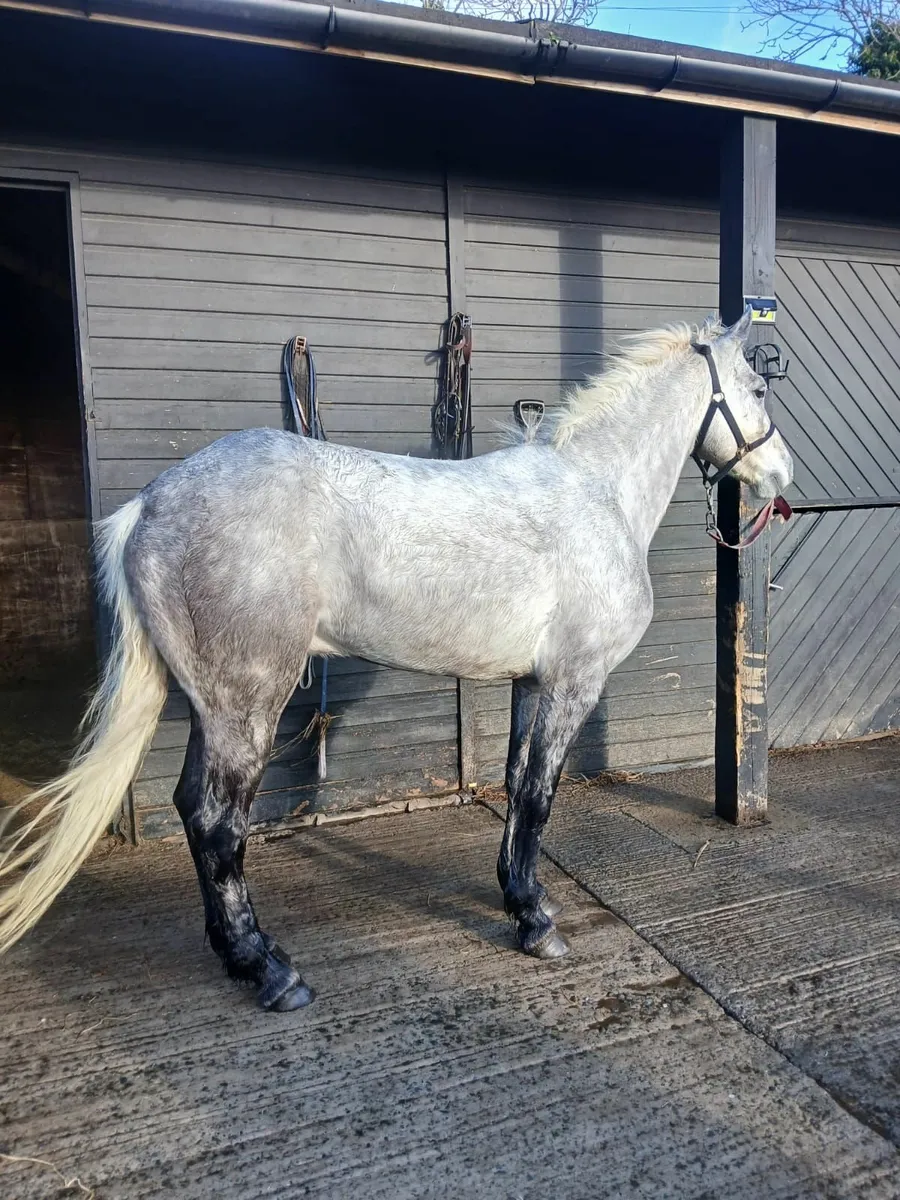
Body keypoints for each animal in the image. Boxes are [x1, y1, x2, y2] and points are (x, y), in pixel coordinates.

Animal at [0, 310, 793, 1012]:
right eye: (758, 387)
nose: (780, 476)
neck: (595, 493)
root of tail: (151, 506)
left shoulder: (531, 683)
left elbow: (516, 787)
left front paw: (520, 900)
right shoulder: (575, 681)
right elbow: (541, 795)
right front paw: (539, 926)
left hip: (213, 706)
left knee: (195, 810)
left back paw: (239, 955)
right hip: (245, 704)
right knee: (217, 823)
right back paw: (269, 972)